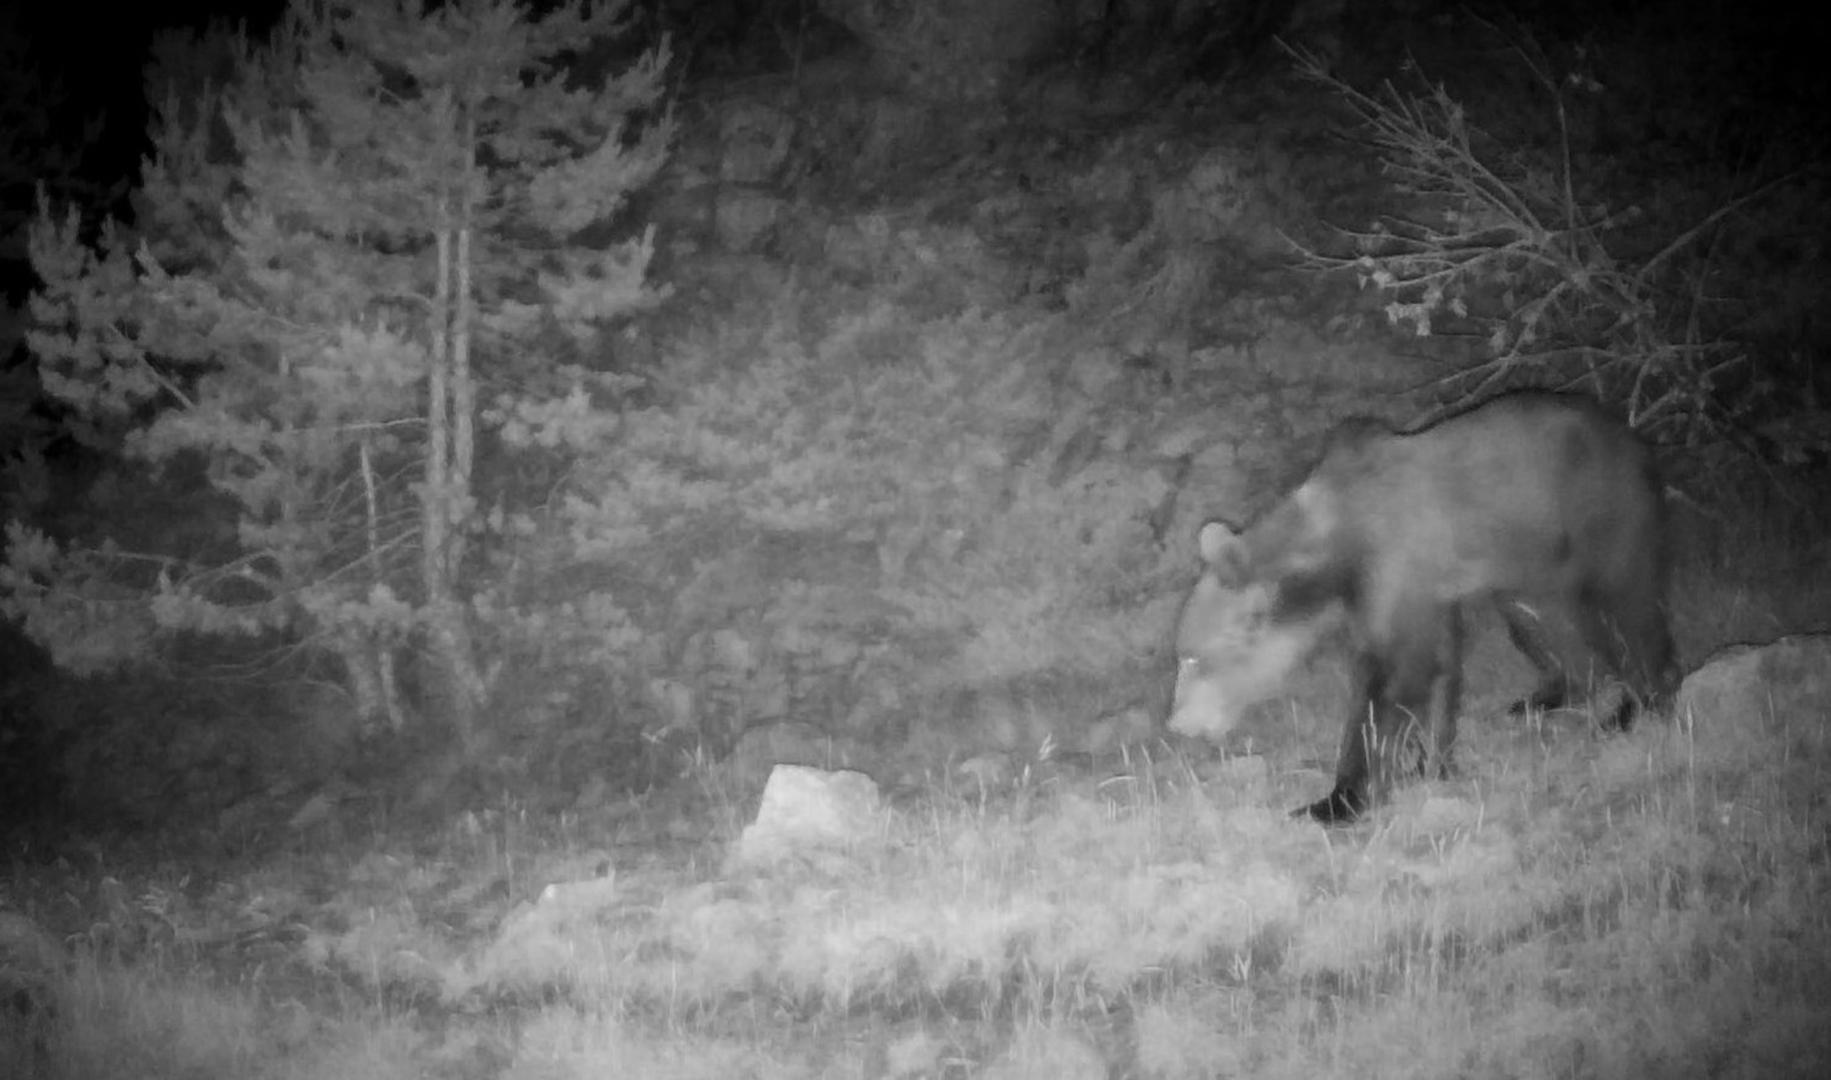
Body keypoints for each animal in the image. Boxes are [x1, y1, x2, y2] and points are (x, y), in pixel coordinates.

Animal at [1167, 391, 1679, 823]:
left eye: (1190, 657)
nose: (1177, 724)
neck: (1334, 550)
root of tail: (1637, 439)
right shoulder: (1421, 589)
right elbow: (1439, 666)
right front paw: (1431, 763)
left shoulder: (1395, 561)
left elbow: (1393, 679)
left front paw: (1337, 801)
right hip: (1530, 558)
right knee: (1540, 620)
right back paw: (1545, 696)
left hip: (1603, 517)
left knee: (1627, 610)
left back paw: (1636, 706)